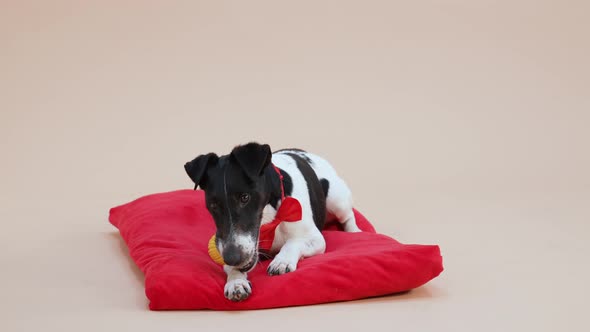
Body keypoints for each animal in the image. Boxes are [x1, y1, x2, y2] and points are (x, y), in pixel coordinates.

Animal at [185, 143, 360, 300]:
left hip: (336, 199)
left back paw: (355, 231)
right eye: (213, 205)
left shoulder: (315, 238)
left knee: (348, 216)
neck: (269, 217)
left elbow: (293, 242)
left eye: (245, 197)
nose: (232, 257)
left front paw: (282, 261)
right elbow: (231, 268)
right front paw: (236, 282)